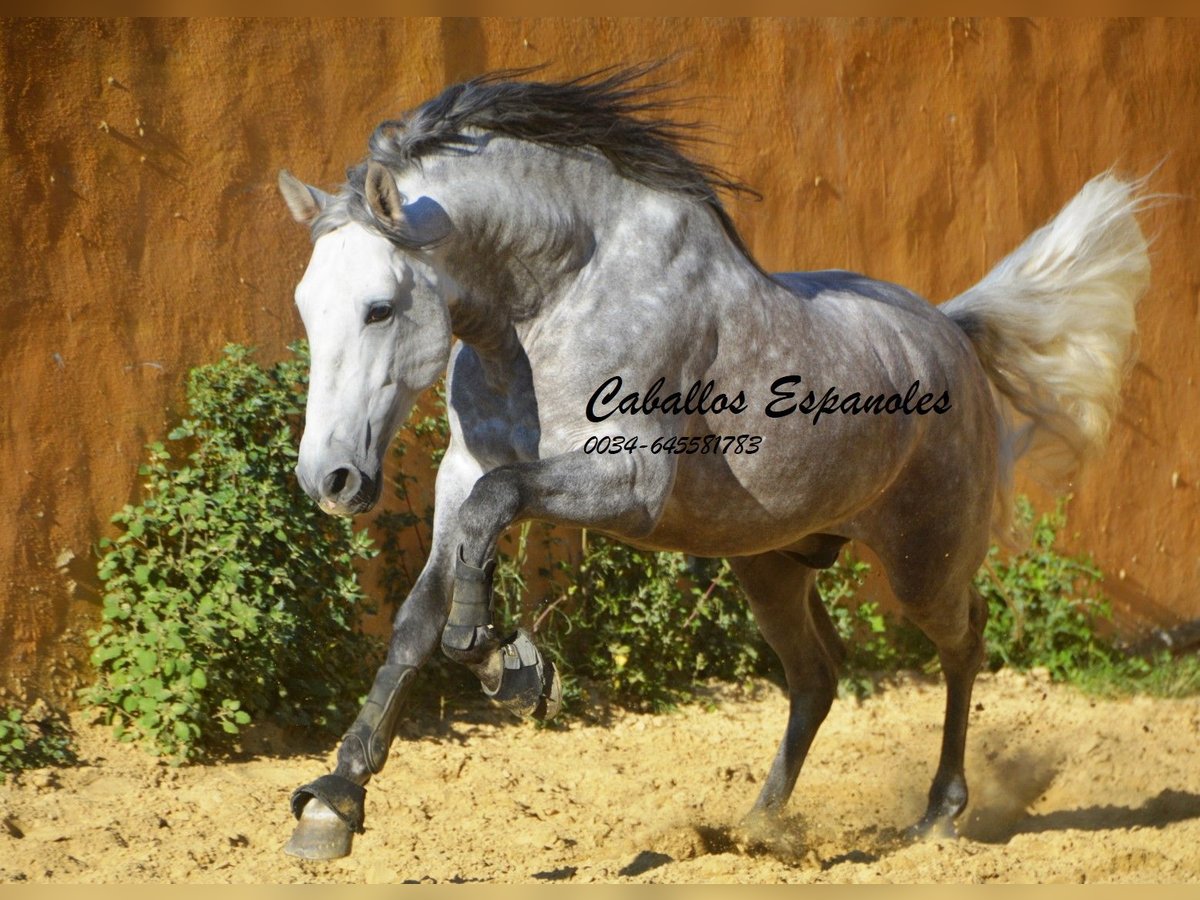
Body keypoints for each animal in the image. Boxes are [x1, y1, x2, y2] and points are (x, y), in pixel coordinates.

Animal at [274, 68, 1152, 859]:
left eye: (379, 308)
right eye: (306, 307)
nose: (330, 481)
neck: (557, 298)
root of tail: (954, 332)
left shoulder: (626, 482)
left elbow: (494, 517)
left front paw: (509, 667)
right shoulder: (459, 473)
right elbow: (417, 621)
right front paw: (334, 803)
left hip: (922, 561)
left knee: (964, 641)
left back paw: (939, 814)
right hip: (771, 564)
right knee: (817, 677)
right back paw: (758, 826)